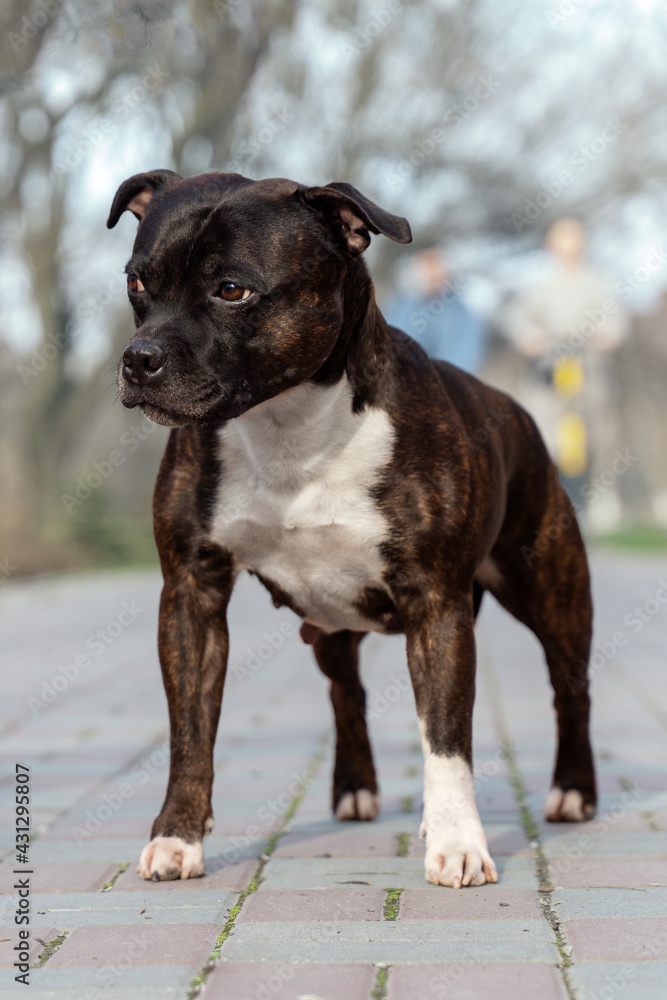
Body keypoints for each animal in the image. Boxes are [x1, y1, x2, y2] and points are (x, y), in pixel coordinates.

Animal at [107, 168, 596, 888]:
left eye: (231, 290)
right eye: (138, 283)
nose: (139, 359)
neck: (288, 428)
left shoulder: (436, 606)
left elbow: (445, 737)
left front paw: (457, 843)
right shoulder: (192, 595)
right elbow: (190, 731)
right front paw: (176, 837)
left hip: (552, 593)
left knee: (569, 688)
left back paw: (573, 791)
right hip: (331, 621)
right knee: (347, 693)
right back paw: (355, 789)